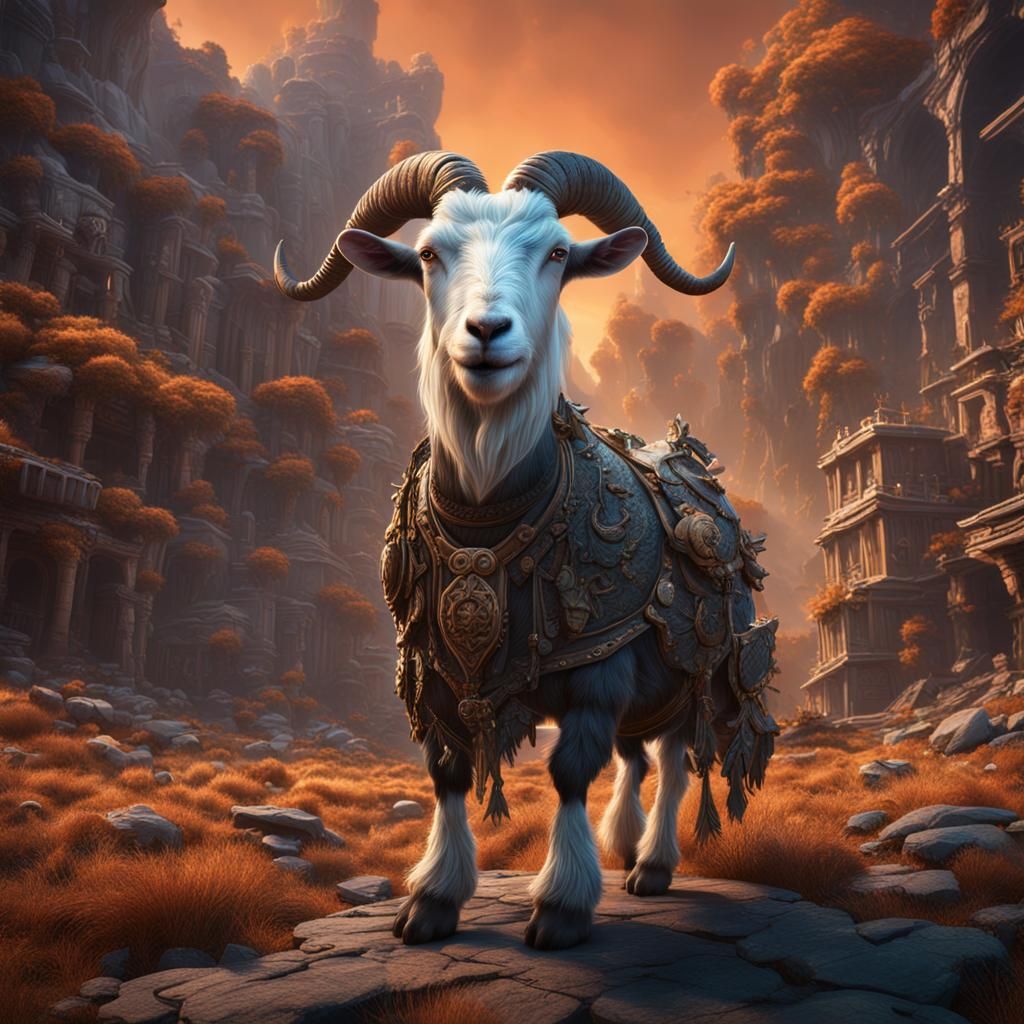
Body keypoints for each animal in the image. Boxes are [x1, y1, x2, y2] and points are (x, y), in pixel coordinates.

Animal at [276, 151, 776, 952]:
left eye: (557, 255)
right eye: (428, 254)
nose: (487, 330)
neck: (492, 513)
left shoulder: (601, 666)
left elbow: (570, 772)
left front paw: (562, 907)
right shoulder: (437, 674)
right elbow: (446, 773)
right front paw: (431, 903)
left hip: (689, 662)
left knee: (672, 757)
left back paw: (653, 864)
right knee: (637, 758)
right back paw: (624, 842)